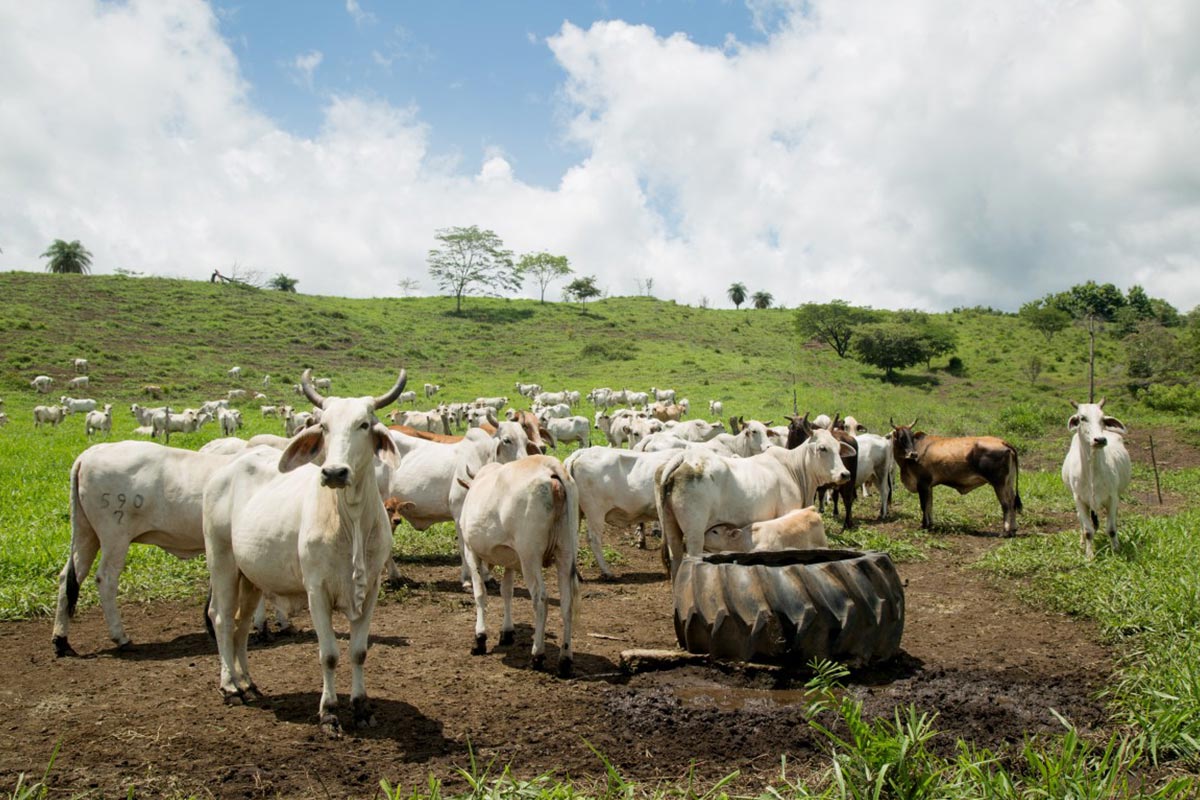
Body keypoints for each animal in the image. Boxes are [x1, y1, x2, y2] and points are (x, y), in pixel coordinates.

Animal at [199, 367, 400, 734]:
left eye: (364, 424)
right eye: (324, 426)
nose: (334, 472)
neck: (349, 520)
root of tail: (225, 469)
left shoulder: (371, 590)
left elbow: (359, 652)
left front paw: (361, 707)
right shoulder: (316, 590)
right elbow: (329, 655)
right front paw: (329, 712)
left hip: (251, 576)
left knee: (241, 624)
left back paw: (247, 683)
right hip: (222, 562)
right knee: (221, 618)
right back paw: (230, 686)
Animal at [892, 422, 1022, 534]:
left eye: (911, 436)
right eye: (901, 437)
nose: (913, 454)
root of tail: (1003, 442)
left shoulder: (922, 484)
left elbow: (924, 505)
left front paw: (924, 525)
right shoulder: (929, 486)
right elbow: (930, 505)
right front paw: (930, 524)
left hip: (999, 484)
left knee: (1006, 504)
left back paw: (1006, 530)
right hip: (1008, 483)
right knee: (1012, 501)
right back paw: (1013, 529)